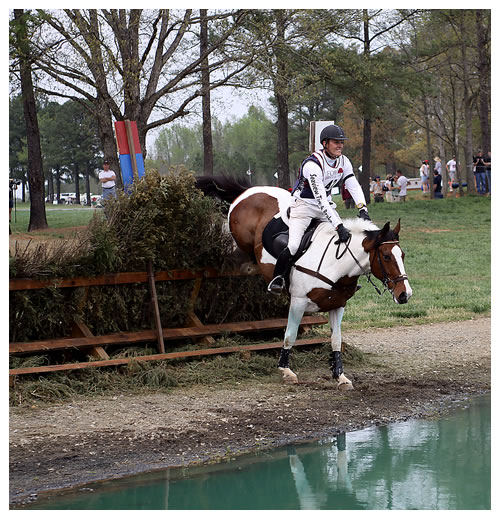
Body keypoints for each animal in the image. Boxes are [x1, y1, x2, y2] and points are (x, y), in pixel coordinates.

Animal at [193, 177, 412, 388]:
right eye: (386, 257)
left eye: (402, 255)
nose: (405, 294)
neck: (337, 264)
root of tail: (249, 190)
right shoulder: (298, 302)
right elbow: (290, 335)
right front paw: (286, 371)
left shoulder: (337, 305)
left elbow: (336, 340)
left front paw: (340, 376)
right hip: (241, 234)